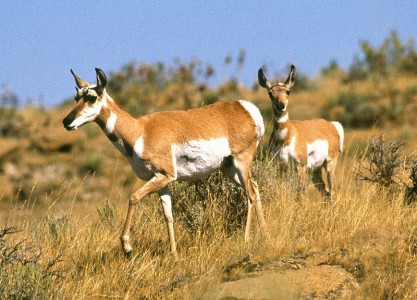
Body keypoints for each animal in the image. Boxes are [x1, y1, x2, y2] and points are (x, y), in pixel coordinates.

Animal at [64, 69, 266, 256]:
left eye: (91, 97)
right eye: (76, 97)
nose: (66, 121)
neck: (140, 131)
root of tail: (246, 108)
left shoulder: (165, 175)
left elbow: (133, 197)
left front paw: (127, 246)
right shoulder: (162, 181)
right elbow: (168, 216)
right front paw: (174, 253)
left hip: (241, 160)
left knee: (250, 193)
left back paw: (246, 239)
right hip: (228, 168)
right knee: (255, 187)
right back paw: (265, 233)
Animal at [258, 65, 342, 197]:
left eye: (288, 91)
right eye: (270, 93)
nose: (281, 106)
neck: (286, 137)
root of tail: (331, 125)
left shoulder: (300, 166)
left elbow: (299, 193)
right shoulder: (281, 166)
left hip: (329, 164)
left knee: (332, 190)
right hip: (315, 171)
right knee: (325, 192)